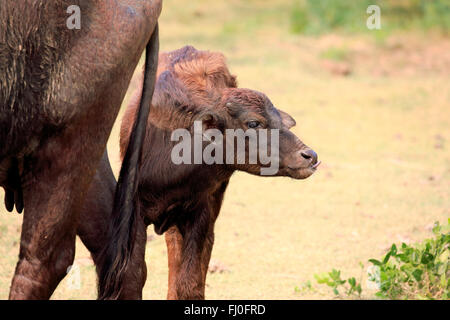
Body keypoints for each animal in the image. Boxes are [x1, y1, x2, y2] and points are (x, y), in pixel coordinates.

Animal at [78, 45, 320, 300]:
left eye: (279, 121)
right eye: (254, 123)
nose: (310, 156)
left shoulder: (200, 213)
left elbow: (190, 282)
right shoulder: (135, 213)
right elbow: (133, 272)